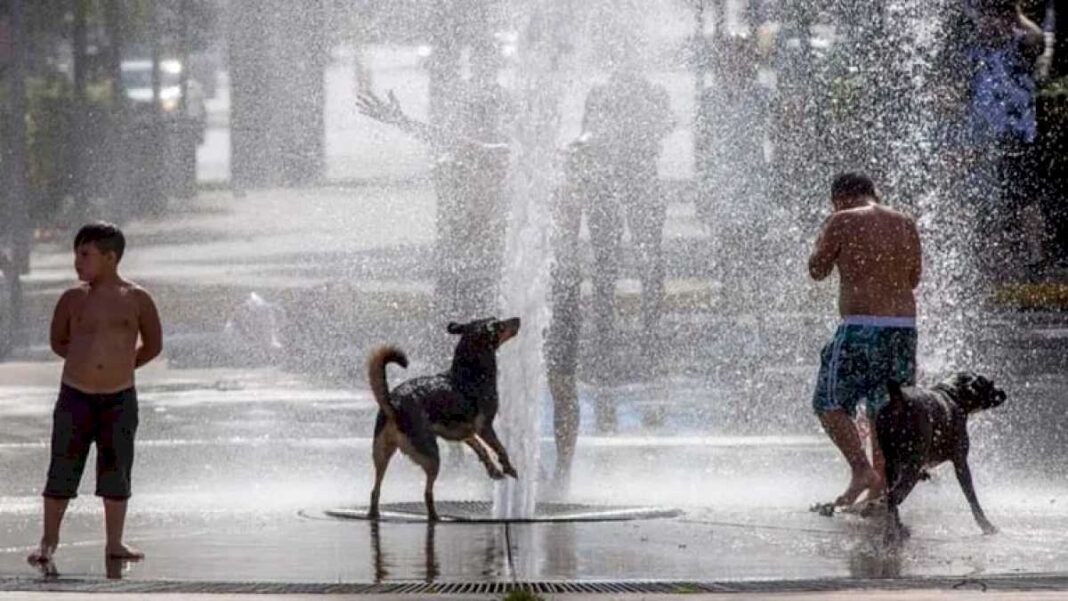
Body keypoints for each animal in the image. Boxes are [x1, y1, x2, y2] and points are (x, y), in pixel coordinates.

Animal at [365, 318, 519, 518]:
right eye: (499, 325)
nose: (518, 319)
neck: (469, 373)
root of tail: (394, 403)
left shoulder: (464, 433)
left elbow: (481, 450)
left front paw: (493, 470)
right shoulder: (485, 428)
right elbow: (500, 449)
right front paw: (509, 468)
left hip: (381, 454)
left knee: (375, 490)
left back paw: (374, 513)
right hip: (432, 456)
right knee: (427, 492)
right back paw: (435, 516)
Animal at [875, 371, 999, 540]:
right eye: (991, 384)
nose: (1003, 393)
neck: (953, 394)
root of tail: (899, 398)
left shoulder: (916, 469)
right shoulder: (960, 462)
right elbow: (971, 496)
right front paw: (985, 525)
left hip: (892, 464)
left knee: (890, 495)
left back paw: (896, 528)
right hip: (912, 465)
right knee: (893, 494)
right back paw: (891, 533)